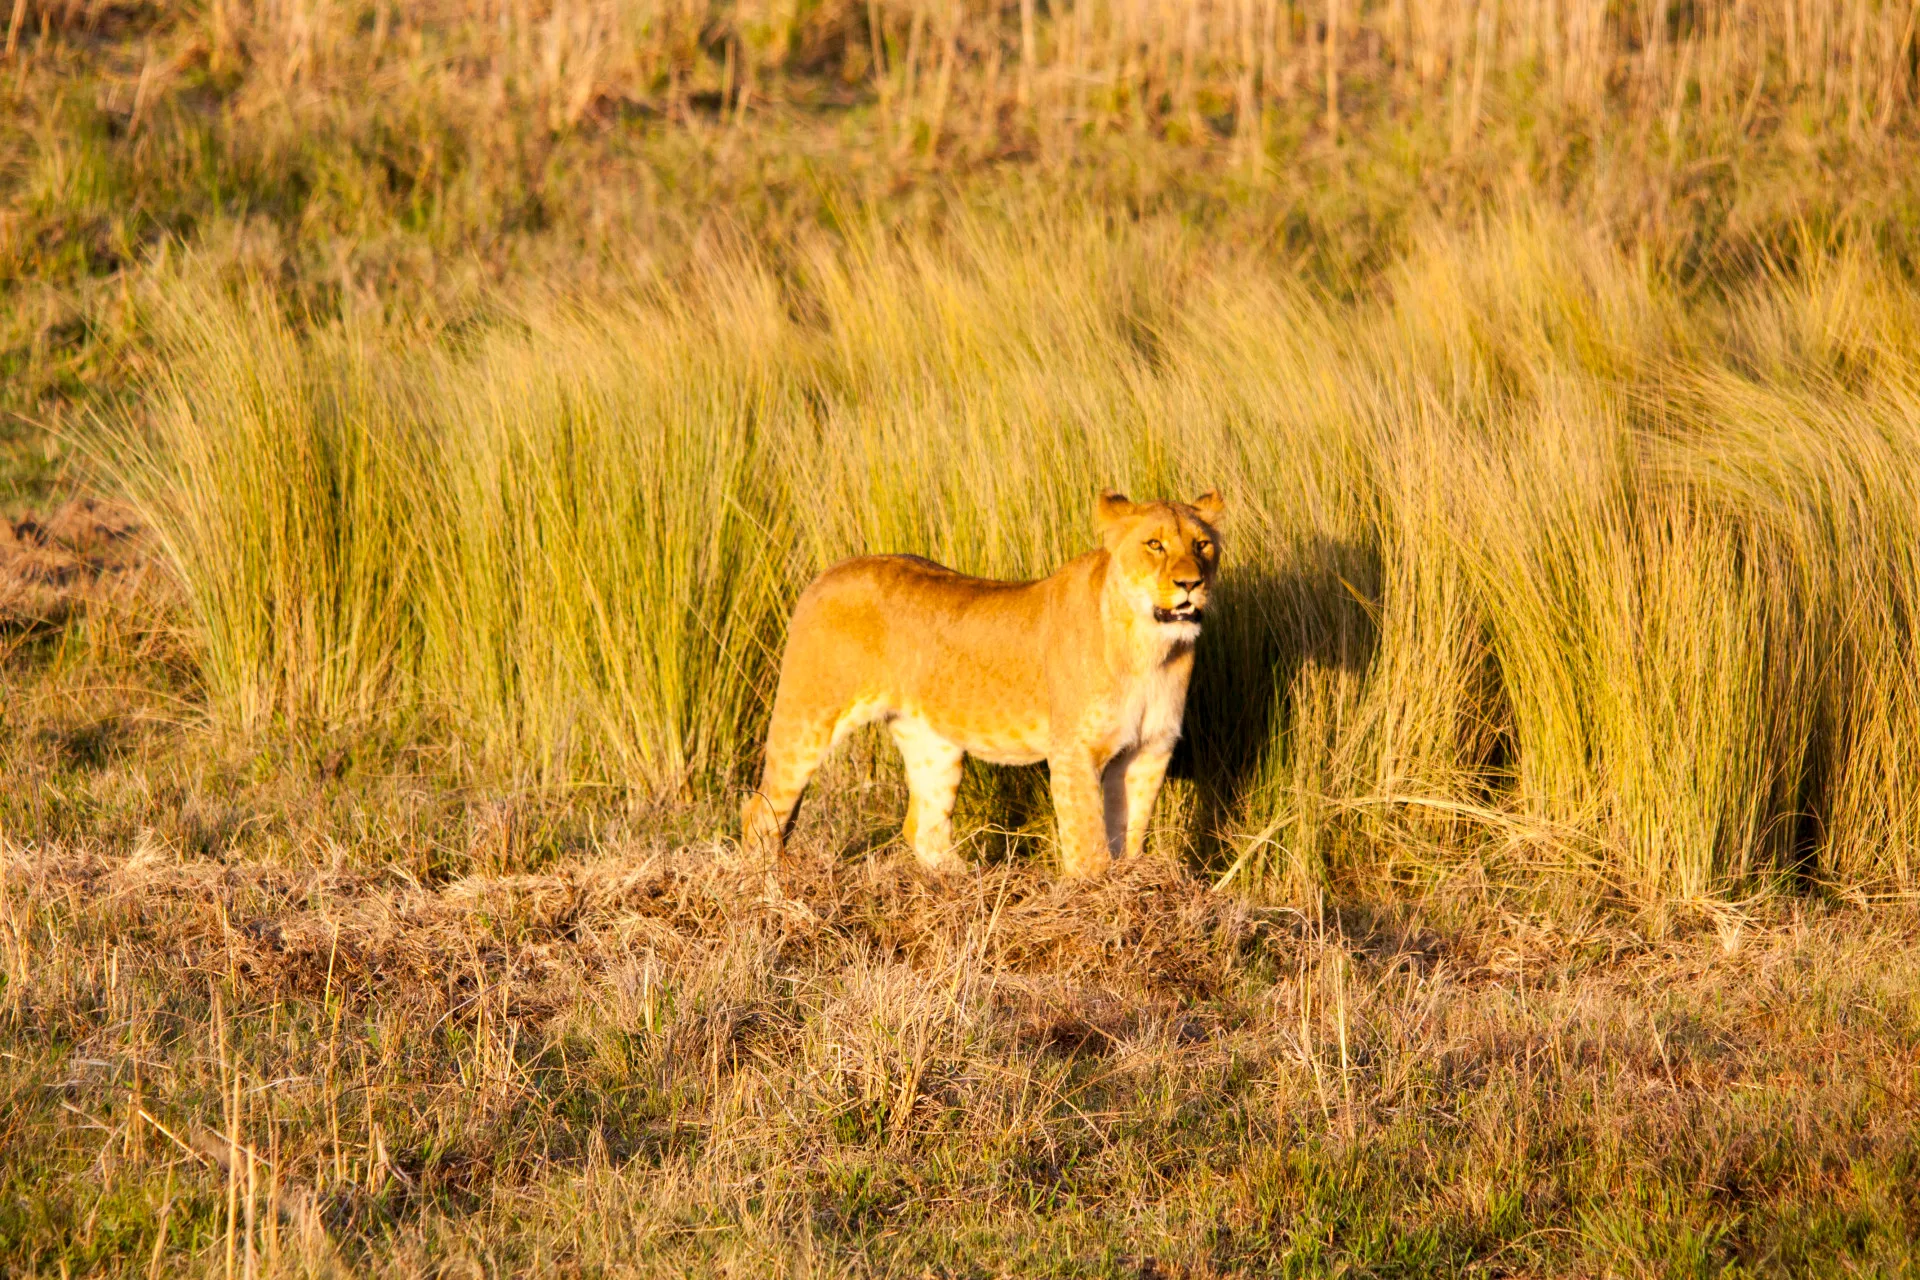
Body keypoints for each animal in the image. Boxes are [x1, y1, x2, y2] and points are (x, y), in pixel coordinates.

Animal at [741, 488, 1224, 878]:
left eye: (1202, 545)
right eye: (1154, 544)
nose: (1190, 583)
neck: (1151, 648)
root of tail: (827, 571)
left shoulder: (1149, 751)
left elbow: (1130, 832)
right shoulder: (1074, 752)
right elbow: (1088, 843)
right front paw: (1099, 899)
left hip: (933, 743)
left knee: (923, 828)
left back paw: (968, 883)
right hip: (807, 720)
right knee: (760, 813)